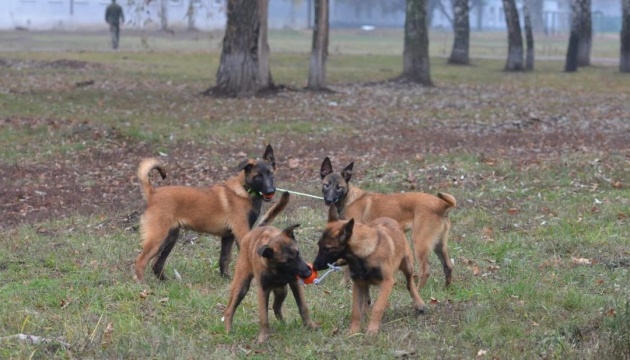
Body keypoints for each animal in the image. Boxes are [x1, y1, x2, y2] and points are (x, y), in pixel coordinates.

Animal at [135, 145, 278, 282]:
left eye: (270, 174)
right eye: (258, 176)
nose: (271, 190)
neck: (245, 190)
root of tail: (153, 193)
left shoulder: (228, 236)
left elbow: (224, 258)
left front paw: (226, 278)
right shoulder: (241, 231)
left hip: (169, 238)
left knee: (156, 264)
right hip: (158, 238)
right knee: (140, 261)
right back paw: (143, 284)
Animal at [223, 191, 320, 344]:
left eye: (298, 253)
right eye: (287, 261)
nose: (308, 272)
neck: (277, 270)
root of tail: (255, 230)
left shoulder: (294, 284)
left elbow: (303, 307)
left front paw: (310, 326)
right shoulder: (263, 290)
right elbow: (264, 318)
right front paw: (263, 338)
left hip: (282, 290)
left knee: (276, 307)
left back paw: (284, 324)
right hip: (241, 286)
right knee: (229, 310)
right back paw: (228, 331)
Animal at [314, 204, 428, 336]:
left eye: (327, 248)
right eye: (319, 245)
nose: (314, 266)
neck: (363, 255)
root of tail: (390, 219)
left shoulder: (387, 282)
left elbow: (378, 307)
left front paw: (372, 330)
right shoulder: (357, 284)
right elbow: (356, 310)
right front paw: (353, 331)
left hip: (407, 265)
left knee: (410, 284)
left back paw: (419, 303)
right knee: (366, 298)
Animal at [324, 158, 456, 290]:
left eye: (339, 187)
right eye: (326, 185)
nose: (329, 201)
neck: (349, 199)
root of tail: (441, 204)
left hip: (419, 243)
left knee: (425, 272)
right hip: (439, 244)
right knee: (448, 266)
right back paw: (446, 288)